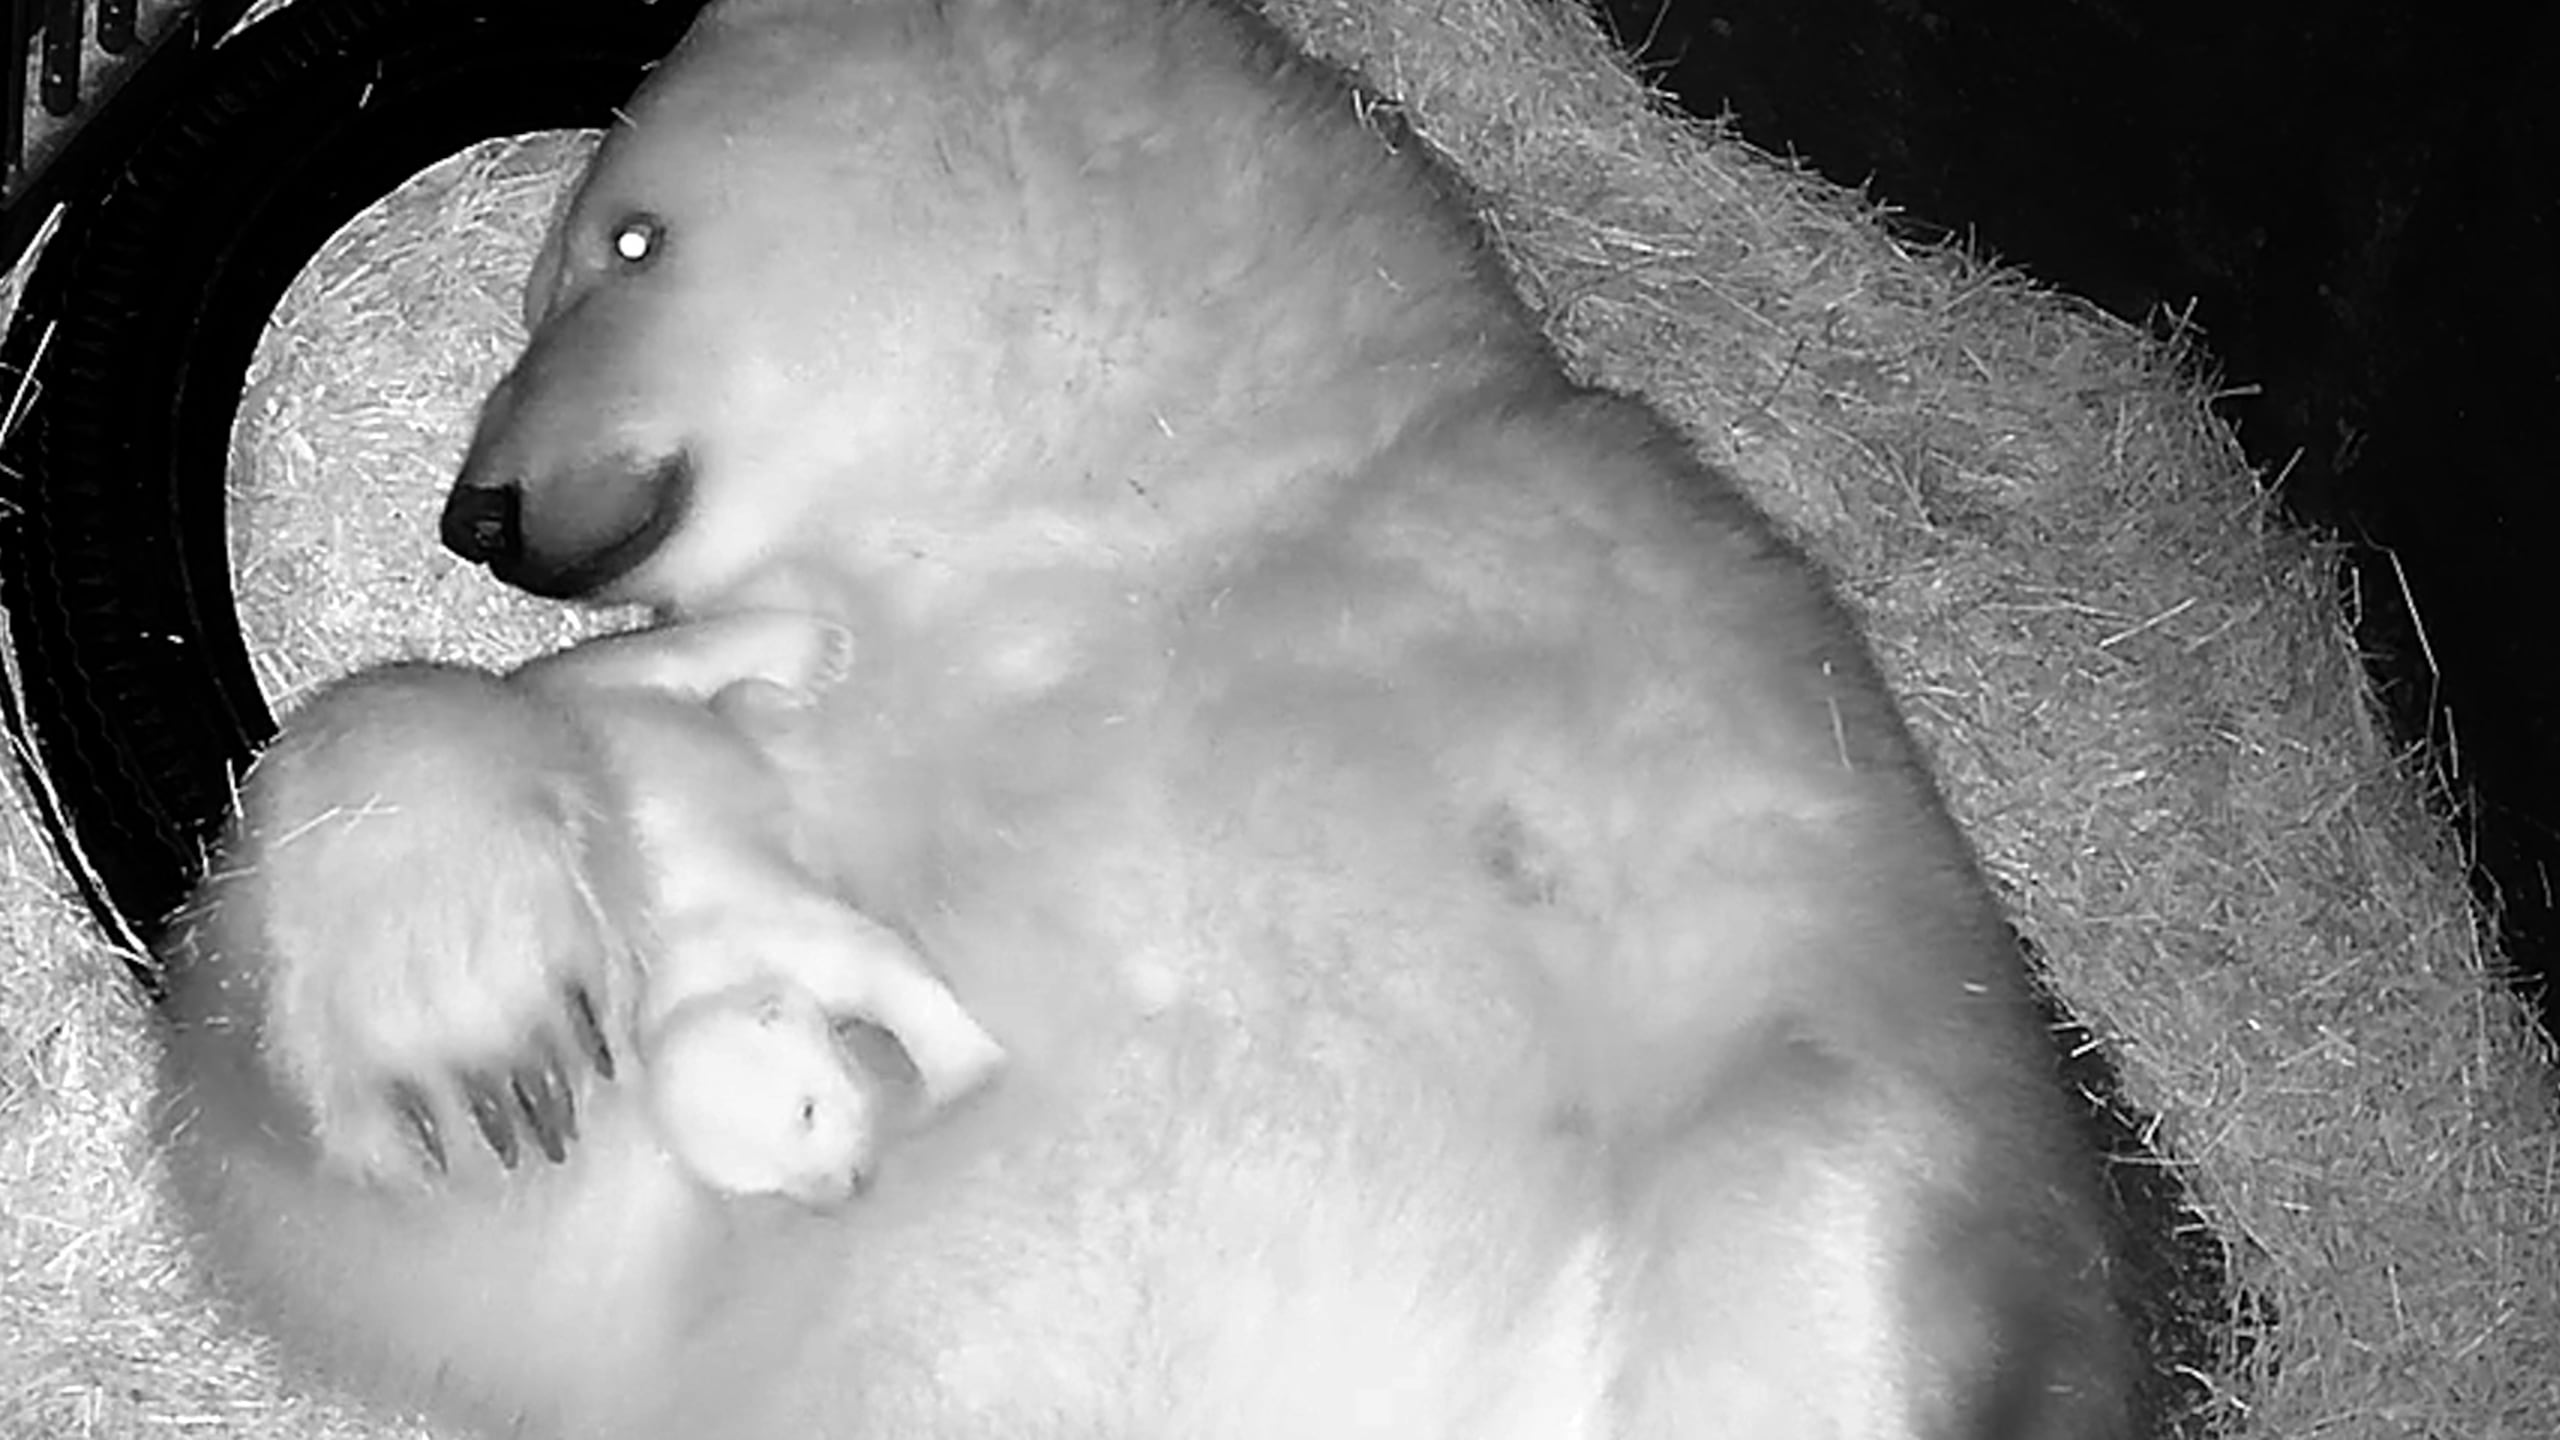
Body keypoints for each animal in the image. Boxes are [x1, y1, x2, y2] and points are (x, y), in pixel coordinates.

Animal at [154, 0, 2141, 1435]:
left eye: (621, 242)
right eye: (551, 267)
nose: (476, 510)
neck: (1133, 527)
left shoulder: (1674, 637)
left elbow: (1855, 1129)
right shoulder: (827, 772)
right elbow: (506, 1225)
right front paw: (472, 1025)